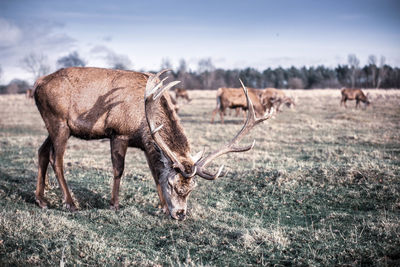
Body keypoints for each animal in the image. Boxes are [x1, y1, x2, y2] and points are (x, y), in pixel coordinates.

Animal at [32, 67, 274, 222]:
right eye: (173, 185)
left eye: (191, 189)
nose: (180, 214)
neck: (144, 125)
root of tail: (37, 84)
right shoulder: (119, 133)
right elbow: (119, 170)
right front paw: (114, 204)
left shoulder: (148, 145)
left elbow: (155, 172)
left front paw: (162, 207)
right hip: (58, 121)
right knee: (56, 159)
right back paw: (70, 203)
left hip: (53, 125)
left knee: (42, 152)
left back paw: (41, 200)